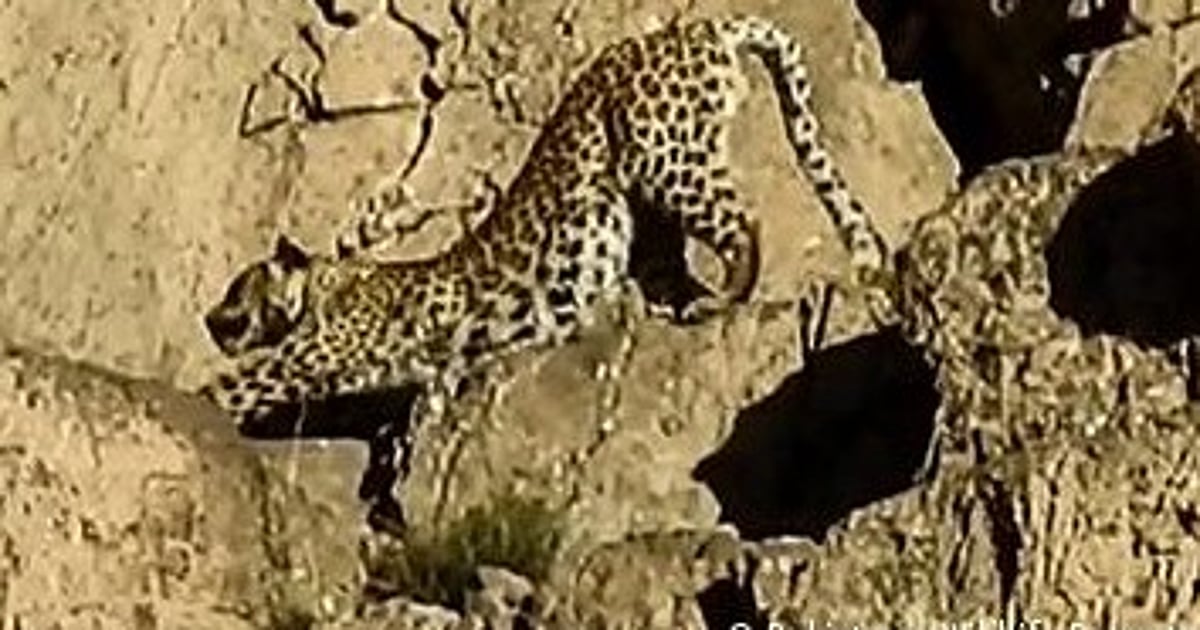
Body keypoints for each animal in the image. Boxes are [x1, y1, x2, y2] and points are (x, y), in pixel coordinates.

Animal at [200, 14, 890, 526]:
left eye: (237, 290)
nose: (208, 319)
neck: (325, 287)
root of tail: (697, 27)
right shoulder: (428, 371)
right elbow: (431, 401)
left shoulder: (304, 359)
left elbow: (236, 384)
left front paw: (195, 400)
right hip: (646, 193)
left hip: (662, 156)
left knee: (743, 221)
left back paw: (720, 300)